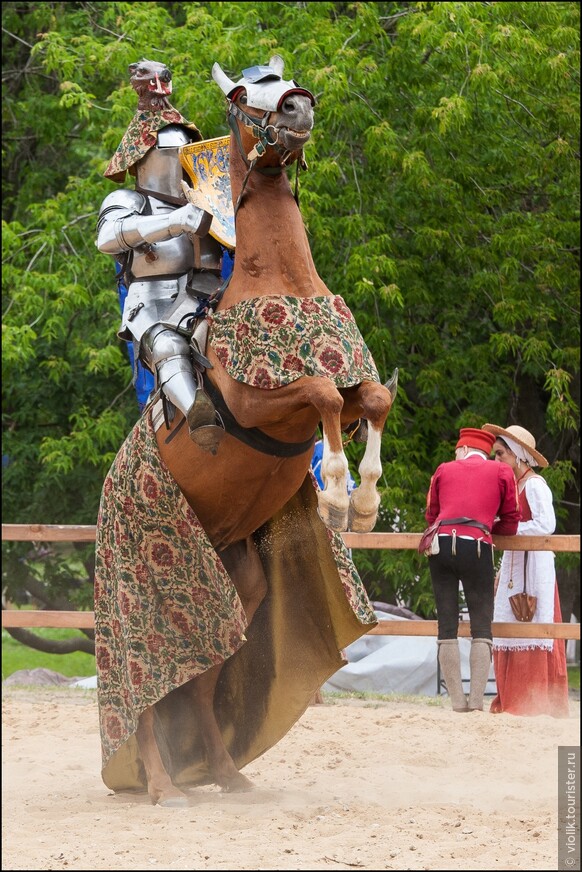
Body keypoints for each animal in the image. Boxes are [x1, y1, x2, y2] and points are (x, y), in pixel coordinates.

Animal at [94, 52, 396, 804]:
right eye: (239, 94)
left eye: (284, 77)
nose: (298, 106)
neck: (279, 282)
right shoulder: (265, 405)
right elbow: (316, 394)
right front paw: (338, 494)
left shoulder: (350, 386)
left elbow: (370, 399)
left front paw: (367, 500)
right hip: (151, 602)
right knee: (152, 689)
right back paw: (164, 787)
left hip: (239, 587)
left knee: (203, 678)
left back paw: (227, 777)